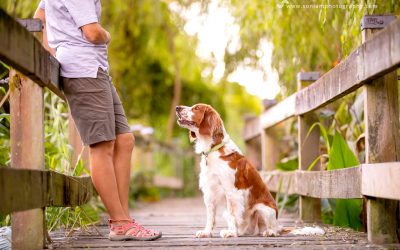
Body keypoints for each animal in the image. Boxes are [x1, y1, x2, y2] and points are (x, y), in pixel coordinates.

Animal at [175, 103, 282, 238]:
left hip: (263, 209)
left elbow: (232, 214)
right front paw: (206, 232)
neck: (213, 149)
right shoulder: (209, 191)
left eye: (196, 108)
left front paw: (231, 232)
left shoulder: (231, 191)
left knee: (274, 228)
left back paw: (270, 232)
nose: (177, 107)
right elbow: (210, 216)